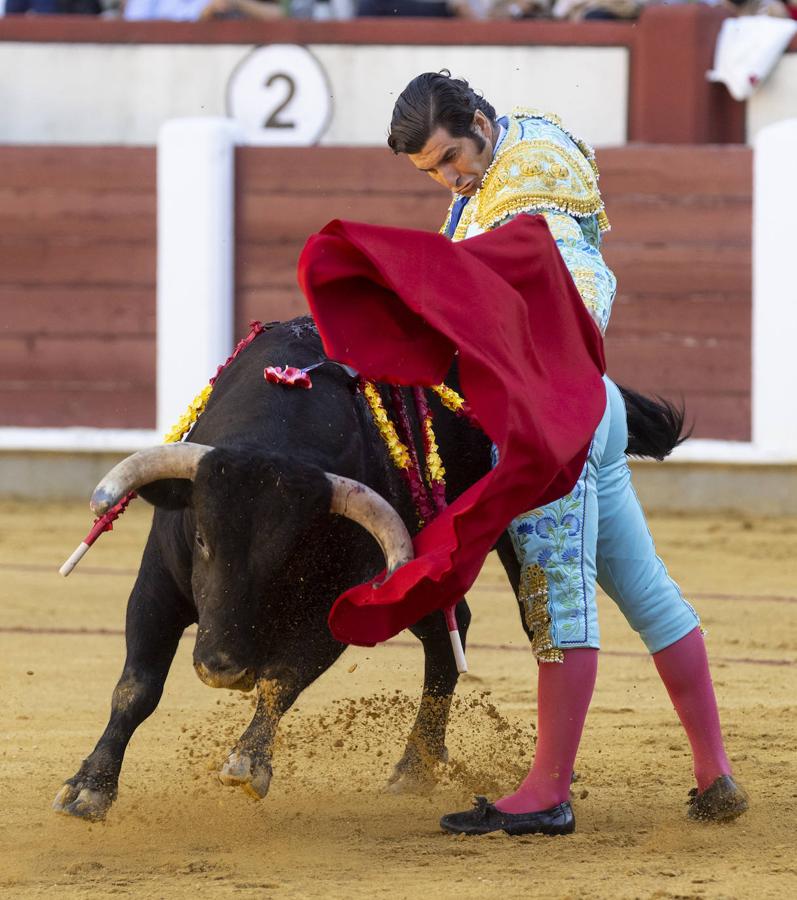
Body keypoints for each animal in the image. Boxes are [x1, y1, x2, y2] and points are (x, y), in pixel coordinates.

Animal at [51, 316, 684, 824]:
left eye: (291, 553)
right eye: (203, 536)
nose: (222, 669)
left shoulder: (336, 612)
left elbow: (282, 679)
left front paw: (248, 762)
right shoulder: (156, 587)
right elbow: (135, 688)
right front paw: (88, 789)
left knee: (541, 633)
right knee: (448, 634)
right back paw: (416, 768)